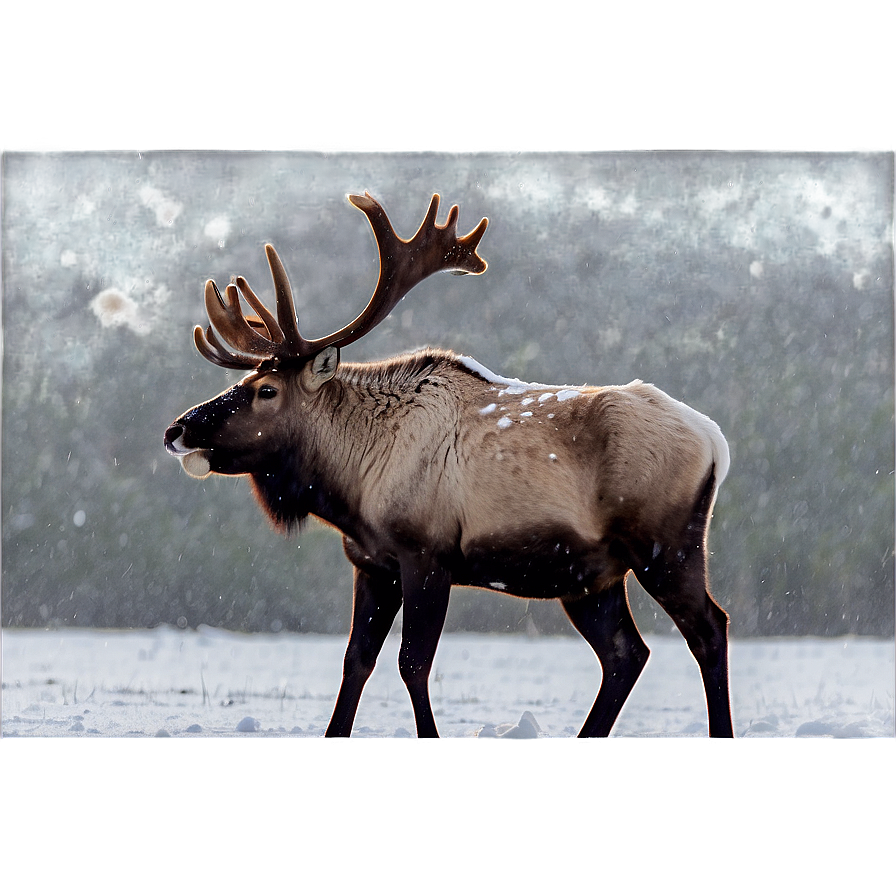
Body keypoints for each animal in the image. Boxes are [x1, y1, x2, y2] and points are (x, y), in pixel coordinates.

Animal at [163, 192, 736, 740]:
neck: (352, 485)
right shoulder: (371, 563)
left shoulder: (427, 553)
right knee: (626, 654)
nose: (177, 430)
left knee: (710, 628)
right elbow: (355, 663)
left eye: (266, 390)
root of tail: (716, 442)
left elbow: (412, 664)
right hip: (590, 577)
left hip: (665, 545)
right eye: (244, 381)